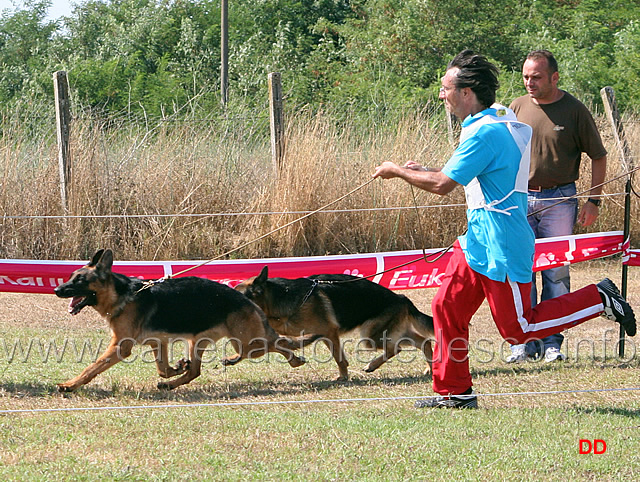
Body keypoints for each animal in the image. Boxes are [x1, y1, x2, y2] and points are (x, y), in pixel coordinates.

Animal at [53, 249, 316, 392]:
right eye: (70, 277)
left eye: (79, 280)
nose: (57, 290)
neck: (122, 295)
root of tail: (246, 299)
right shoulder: (157, 342)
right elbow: (163, 369)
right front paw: (177, 368)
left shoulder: (120, 346)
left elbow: (92, 367)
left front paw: (70, 384)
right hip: (201, 342)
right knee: (196, 371)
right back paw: (172, 383)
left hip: (246, 343)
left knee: (276, 344)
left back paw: (295, 360)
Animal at [235, 266, 436, 378]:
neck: (279, 299)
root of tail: (401, 297)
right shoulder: (319, 335)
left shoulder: (330, 333)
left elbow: (339, 358)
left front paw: (343, 377)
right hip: (388, 332)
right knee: (423, 341)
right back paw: (430, 369)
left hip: (371, 336)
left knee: (397, 348)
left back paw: (371, 365)